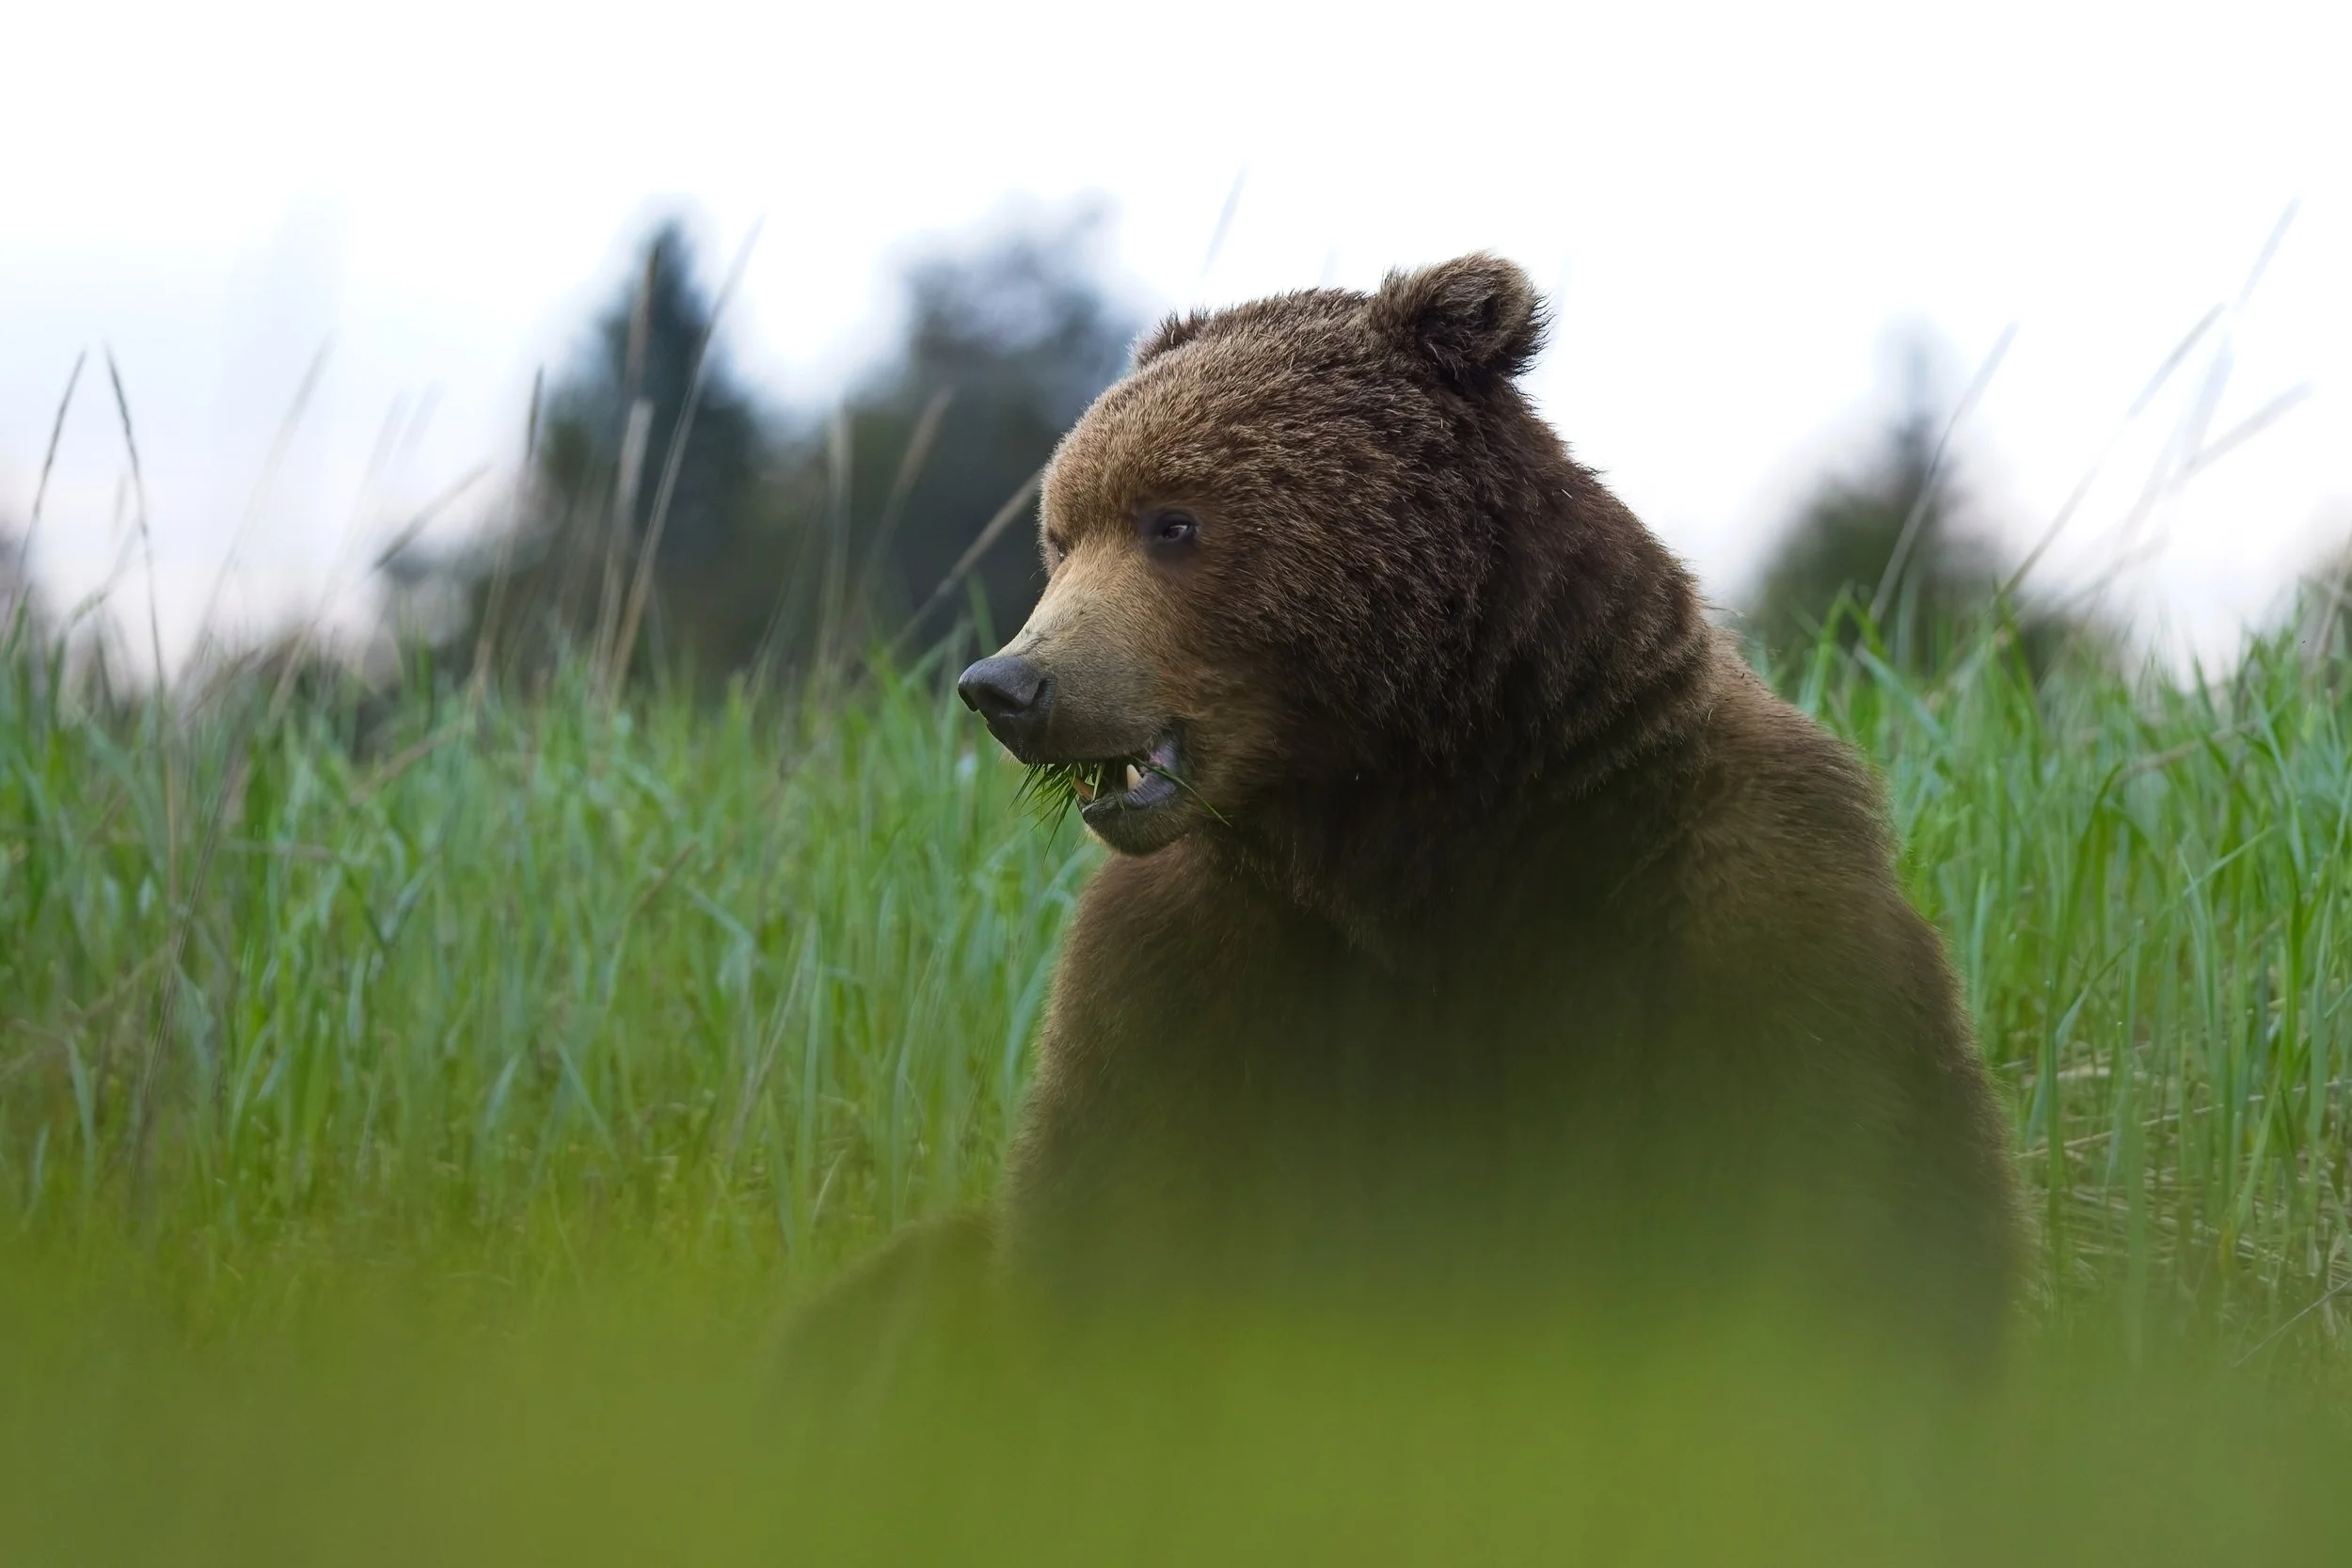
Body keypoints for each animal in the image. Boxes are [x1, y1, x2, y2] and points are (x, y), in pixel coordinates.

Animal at [791, 254, 2020, 1383]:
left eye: (1171, 520)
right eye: (1061, 530)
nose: (1008, 684)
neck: (1411, 813)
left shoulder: (1740, 898)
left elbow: (1844, 1206)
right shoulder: (1191, 960)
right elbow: (1112, 1213)